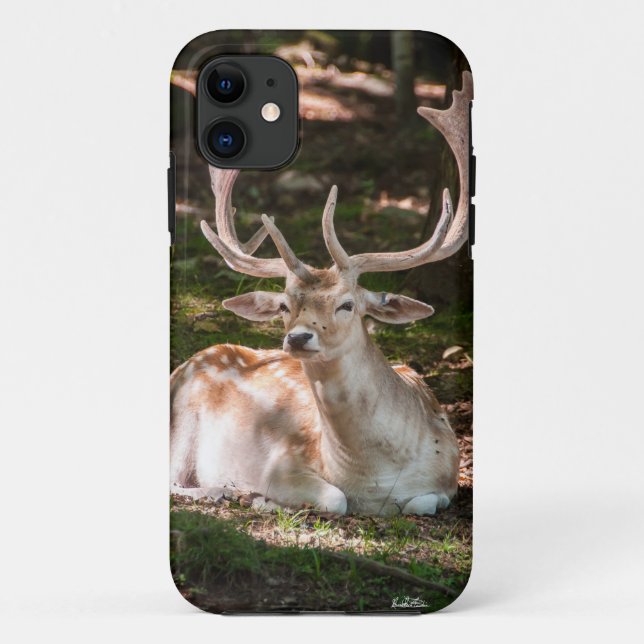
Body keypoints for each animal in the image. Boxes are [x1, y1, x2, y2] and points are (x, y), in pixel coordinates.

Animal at [170, 71, 473, 516]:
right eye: (284, 306)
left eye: (347, 304)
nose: (298, 337)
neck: (374, 477)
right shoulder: (283, 463)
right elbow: (335, 498)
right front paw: (261, 498)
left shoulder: (449, 478)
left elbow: (421, 503)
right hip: (179, 423)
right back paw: (224, 490)